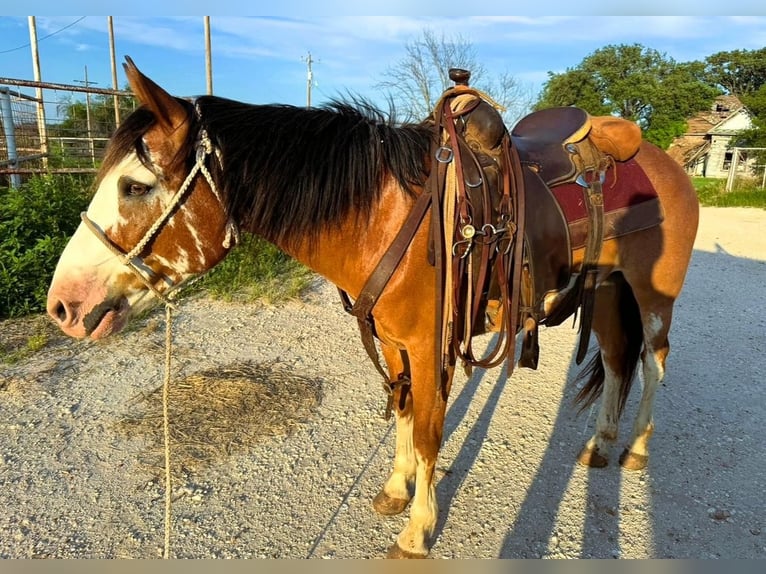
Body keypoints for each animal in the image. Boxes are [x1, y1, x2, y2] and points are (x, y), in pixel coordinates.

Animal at [45, 57, 700, 560]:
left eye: (134, 186)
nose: (63, 306)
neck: (384, 215)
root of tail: (661, 157)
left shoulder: (428, 344)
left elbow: (431, 431)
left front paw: (417, 530)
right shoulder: (393, 341)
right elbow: (405, 414)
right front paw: (395, 488)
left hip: (653, 296)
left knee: (654, 364)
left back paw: (637, 448)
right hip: (607, 288)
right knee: (615, 362)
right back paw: (601, 443)